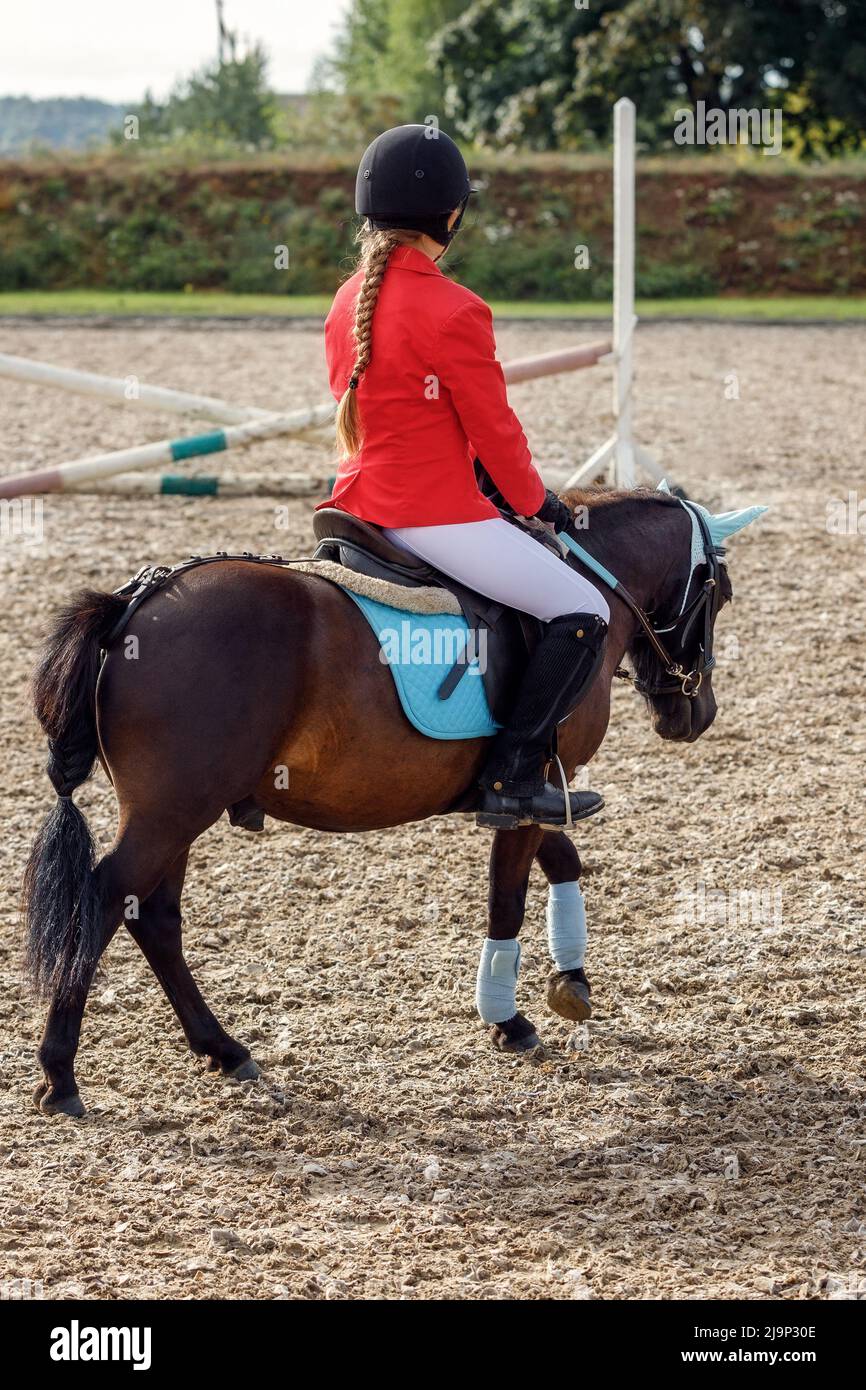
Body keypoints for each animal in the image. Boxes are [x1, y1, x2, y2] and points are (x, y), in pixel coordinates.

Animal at [22, 489, 733, 1117]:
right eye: (719, 594)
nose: (693, 715)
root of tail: (135, 604)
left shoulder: (536, 791)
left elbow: (562, 859)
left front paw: (572, 981)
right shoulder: (527, 790)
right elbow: (508, 895)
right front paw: (508, 1019)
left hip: (175, 812)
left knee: (153, 917)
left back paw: (224, 1050)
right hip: (173, 811)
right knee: (104, 899)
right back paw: (60, 1075)